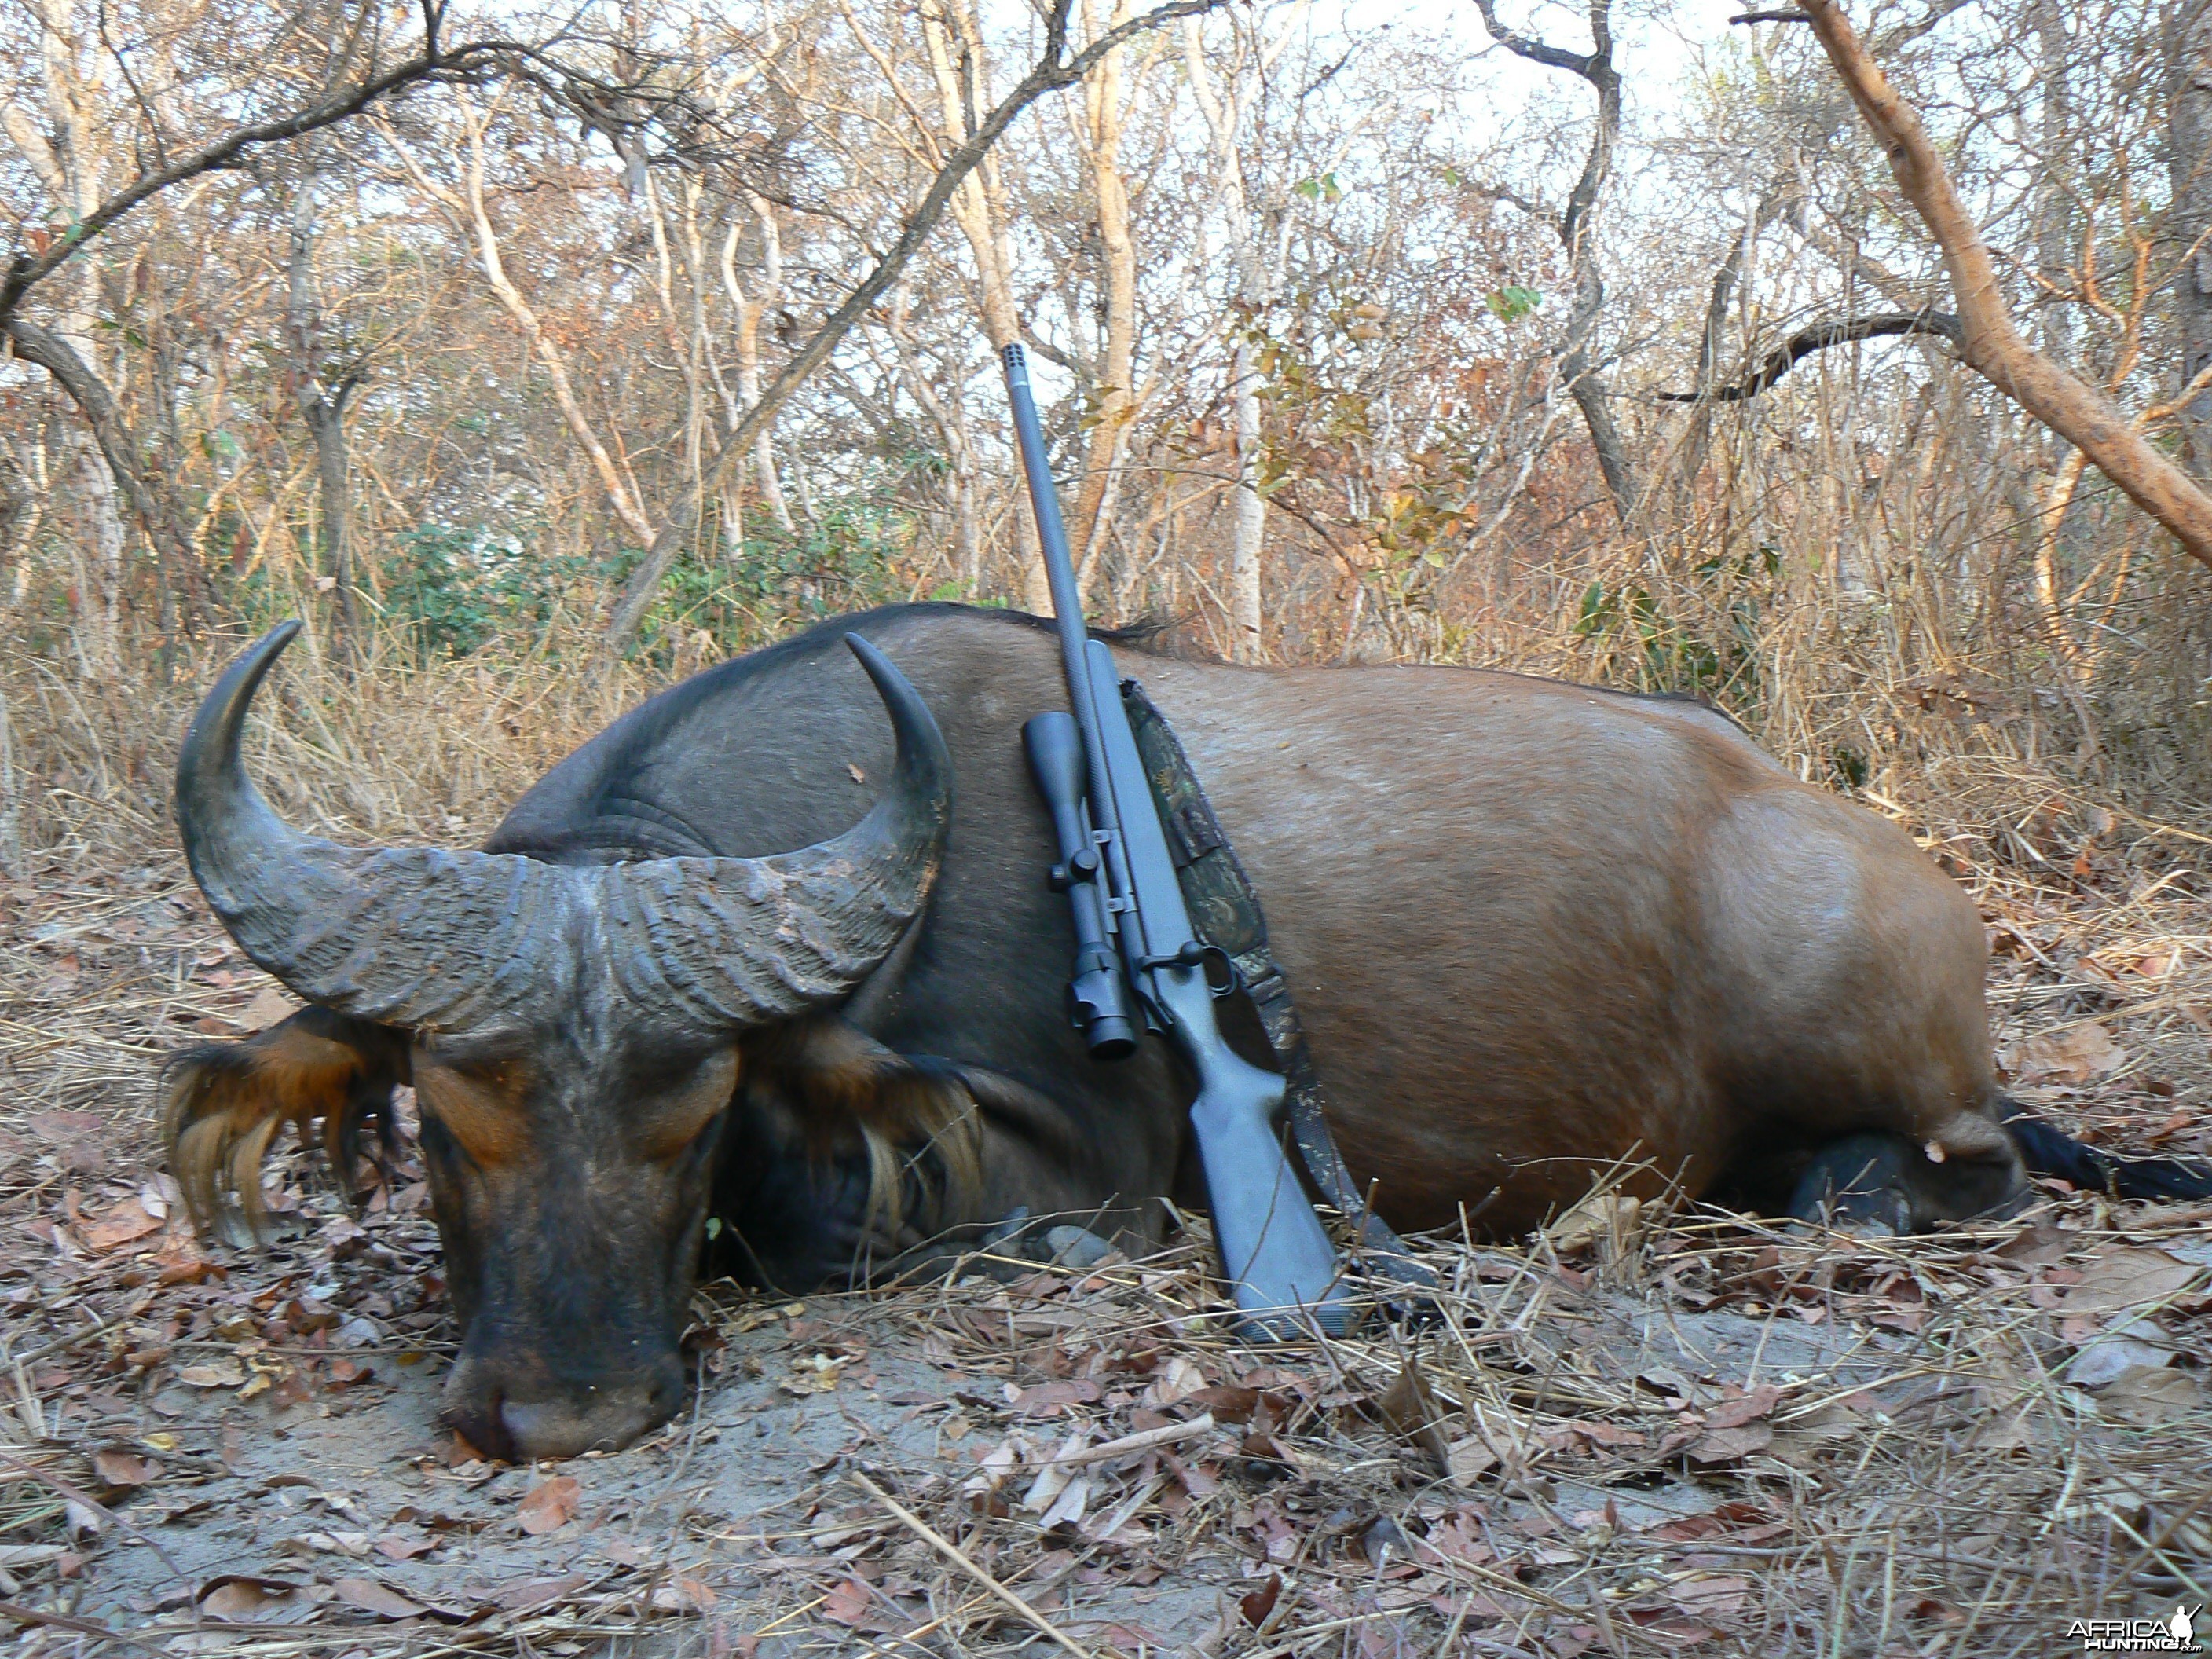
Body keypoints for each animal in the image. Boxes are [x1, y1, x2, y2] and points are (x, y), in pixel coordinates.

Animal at [163, 606, 2203, 1459]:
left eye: (696, 1110)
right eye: (444, 1119)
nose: (569, 1411)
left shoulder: (1072, 1171)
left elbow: (833, 1219)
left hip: (1890, 1074)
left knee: (1977, 1166)